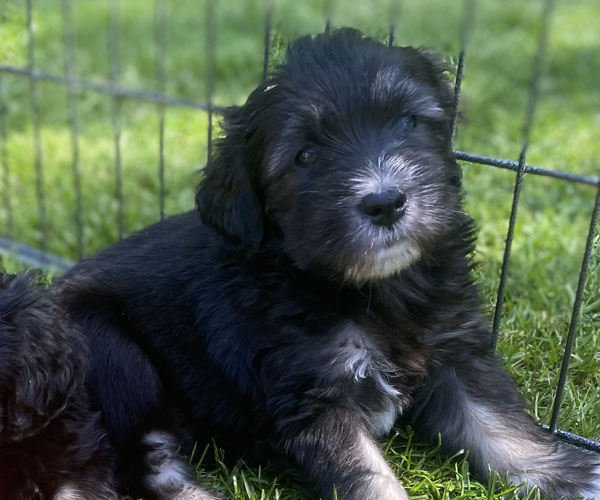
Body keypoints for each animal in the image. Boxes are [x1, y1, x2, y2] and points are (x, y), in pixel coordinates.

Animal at [54, 29, 600, 499]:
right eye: (306, 155)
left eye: (408, 121)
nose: (386, 203)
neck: (372, 289)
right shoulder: (312, 393)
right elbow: (367, 476)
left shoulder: (455, 347)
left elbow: (497, 423)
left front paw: (570, 477)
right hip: (111, 352)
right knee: (146, 465)